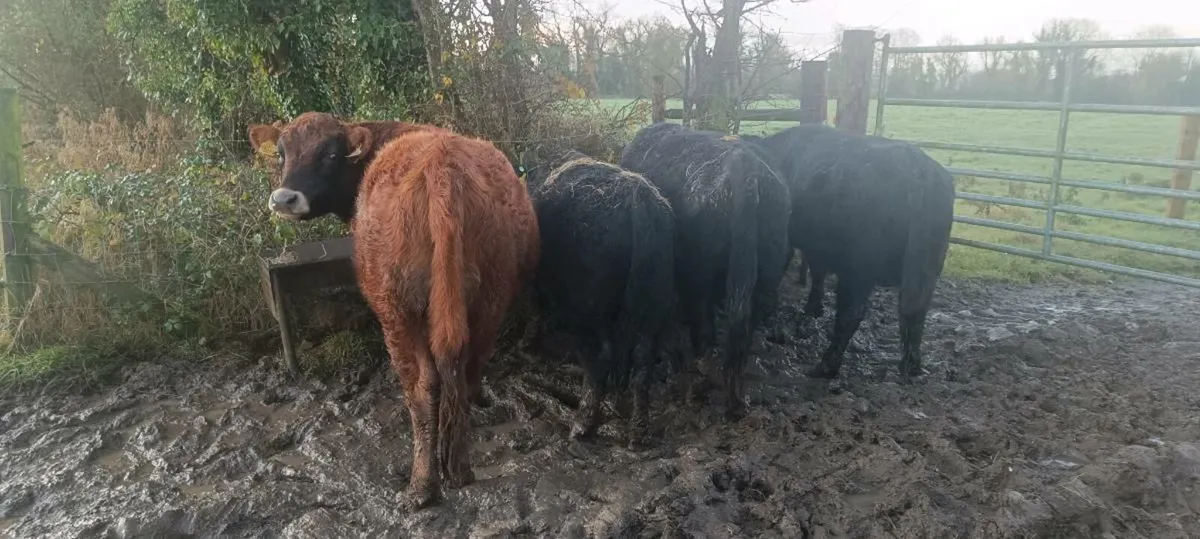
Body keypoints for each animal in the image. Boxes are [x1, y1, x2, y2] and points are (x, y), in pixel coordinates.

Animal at [247, 112, 540, 509]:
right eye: (281, 153)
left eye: (331, 155)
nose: (284, 198)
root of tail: (441, 166)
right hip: (490, 299)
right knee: (467, 365)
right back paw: (460, 466)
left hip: (397, 310)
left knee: (424, 384)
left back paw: (422, 484)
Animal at [522, 149, 676, 448]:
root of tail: (638, 200)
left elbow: (536, 309)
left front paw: (528, 346)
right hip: (653, 307)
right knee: (642, 361)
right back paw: (637, 431)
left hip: (591, 312)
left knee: (601, 358)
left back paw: (582, 423)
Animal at [619, 122, 790, 420]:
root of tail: (745, 174)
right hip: (767, 272)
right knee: (744, 330)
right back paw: (736, 400)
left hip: (701, 278)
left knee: (706, 330)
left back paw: (696, 388)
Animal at [756, 123, 954, 380]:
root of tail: (919, 171)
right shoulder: (818, 247)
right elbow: (817, 273)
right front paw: (812, 309)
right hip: (927, 270)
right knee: (916, 312)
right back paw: (911, 365)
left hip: (859, 271)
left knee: (851, 314)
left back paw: (826, 365)